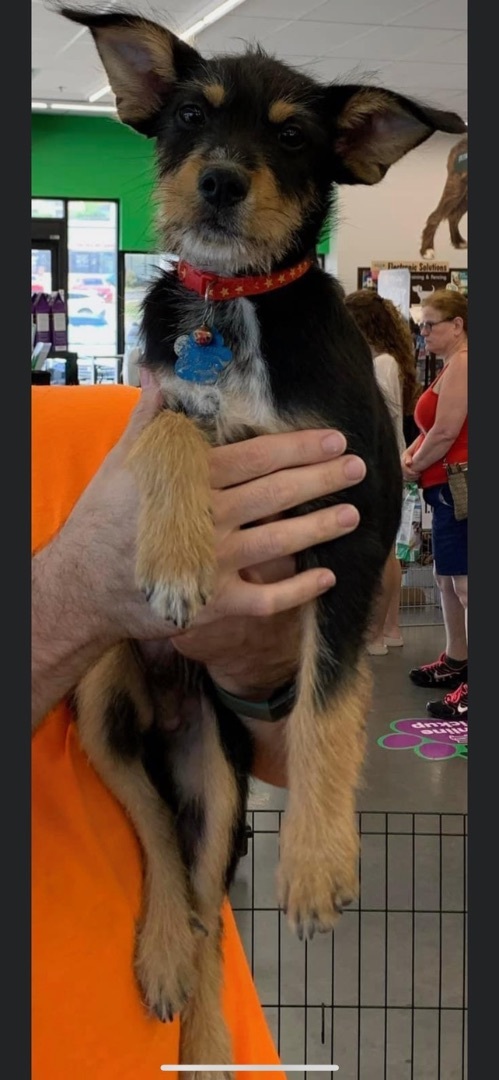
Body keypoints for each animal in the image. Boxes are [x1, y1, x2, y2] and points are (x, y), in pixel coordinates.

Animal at [55, 6, 468, 1071]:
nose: (219, 182)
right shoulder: (157, 397)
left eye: (289, 137)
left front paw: (319, 862)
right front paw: (176, 561)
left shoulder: (354, 520)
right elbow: (174, 423)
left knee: (204, 893)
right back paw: (165, 961)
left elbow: (328, 697)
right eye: (190, 116)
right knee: (168, 859)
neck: (233, 302)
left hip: (222, 771)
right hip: (105, 699)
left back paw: (203, 1032)